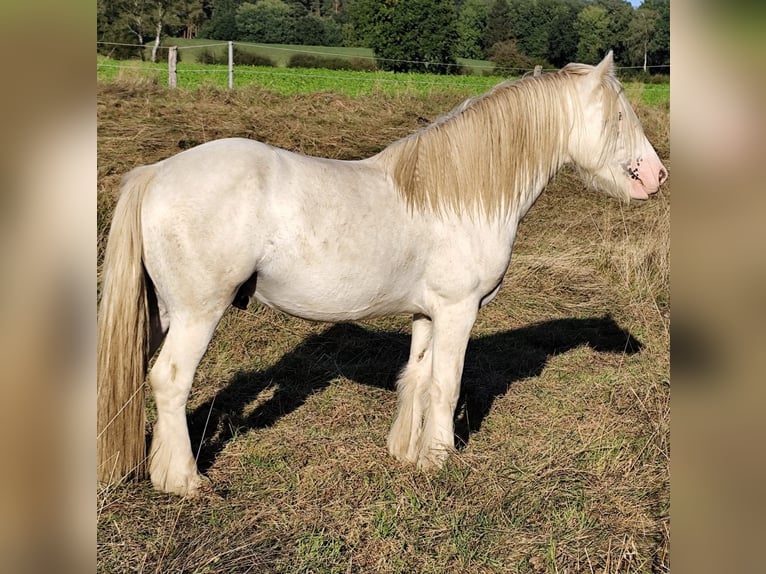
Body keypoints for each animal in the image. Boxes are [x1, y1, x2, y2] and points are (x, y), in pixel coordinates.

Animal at [100, 51, 664, 498]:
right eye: (619, 116)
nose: (657, 177)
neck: (460, 196)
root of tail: (156, 173)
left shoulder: (428, 313)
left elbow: (417, 377)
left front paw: (406, 454)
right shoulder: (459, 311)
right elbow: (446, 385)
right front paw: (440, 461)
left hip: (161, 314)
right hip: (197, 313)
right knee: (171, 380)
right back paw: (185, 482)